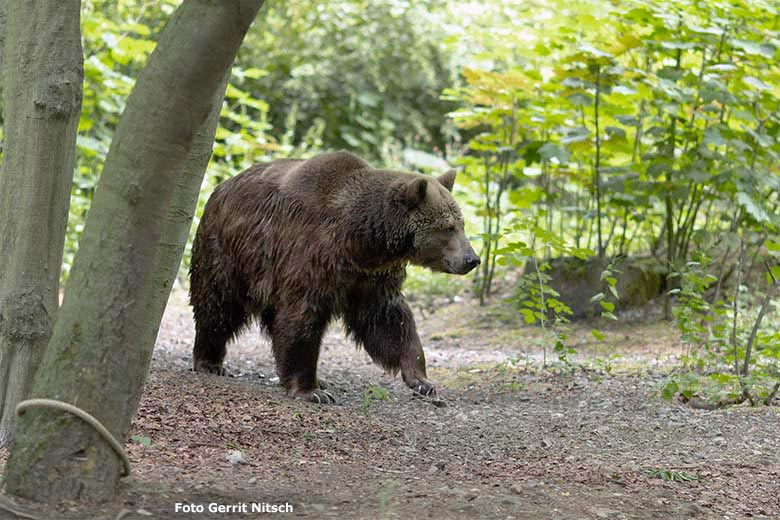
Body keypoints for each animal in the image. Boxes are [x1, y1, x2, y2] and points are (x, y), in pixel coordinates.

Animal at [190, 150, 482, 402]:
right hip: (228, 252)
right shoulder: (311, 257)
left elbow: (390, 320)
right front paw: (310, 390)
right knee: (218, 305)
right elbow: (303, 317)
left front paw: (421, 379)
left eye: (461, 224)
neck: (360, 243)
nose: (472, 259)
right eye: (447, 227)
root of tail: (220, 187)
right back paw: (211, 361)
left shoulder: (370, 278)